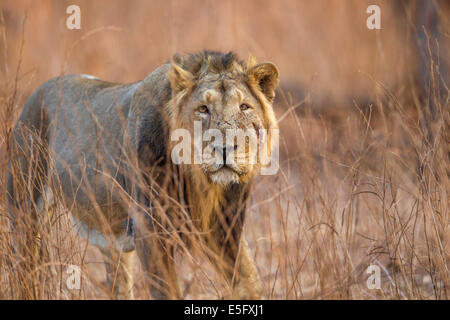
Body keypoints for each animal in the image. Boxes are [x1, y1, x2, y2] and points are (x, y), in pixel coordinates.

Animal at [7, 48, 280, 298]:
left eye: (244, 106)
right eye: (203, 109)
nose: (225, 147)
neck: (201, 182)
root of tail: (34, 96)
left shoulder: (227, 229)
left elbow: (248, 283)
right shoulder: (149, 228)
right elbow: (166, 291)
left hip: (111, 239)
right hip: (26, 214)